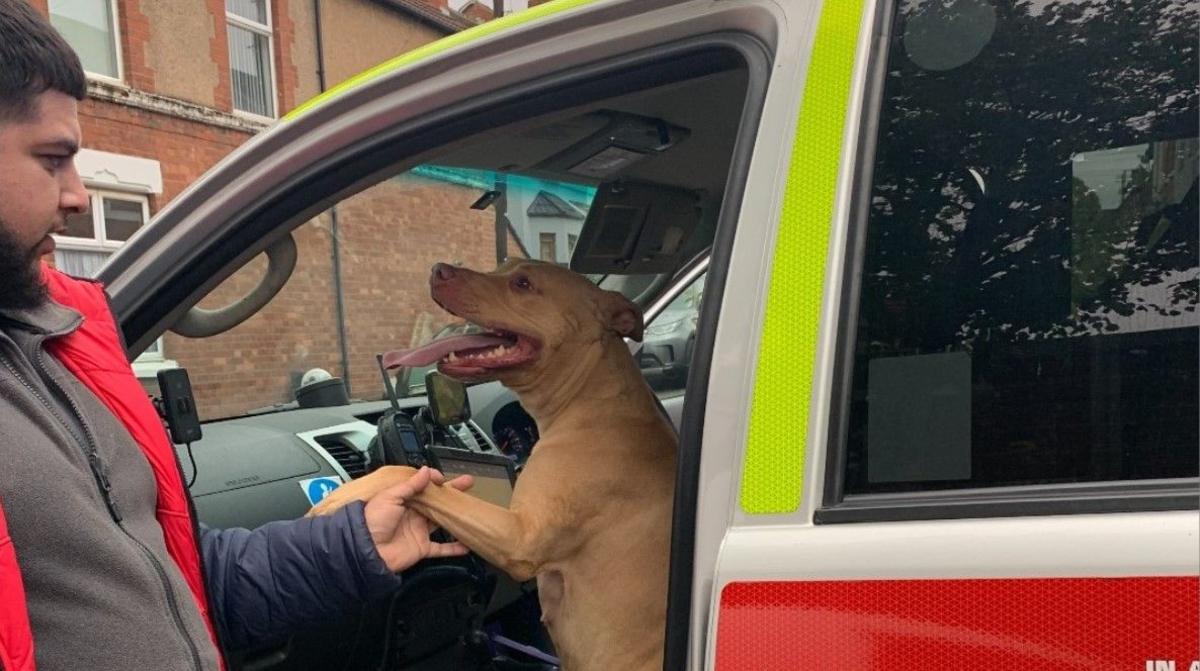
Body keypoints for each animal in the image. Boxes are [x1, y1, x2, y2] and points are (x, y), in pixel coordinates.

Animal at [309, 258, 681, 671]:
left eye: (523, 283)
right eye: (503, 264)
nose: (439, 269)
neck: (596, 400)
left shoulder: (519, 536)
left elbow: (410, 474)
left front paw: (339, 496)